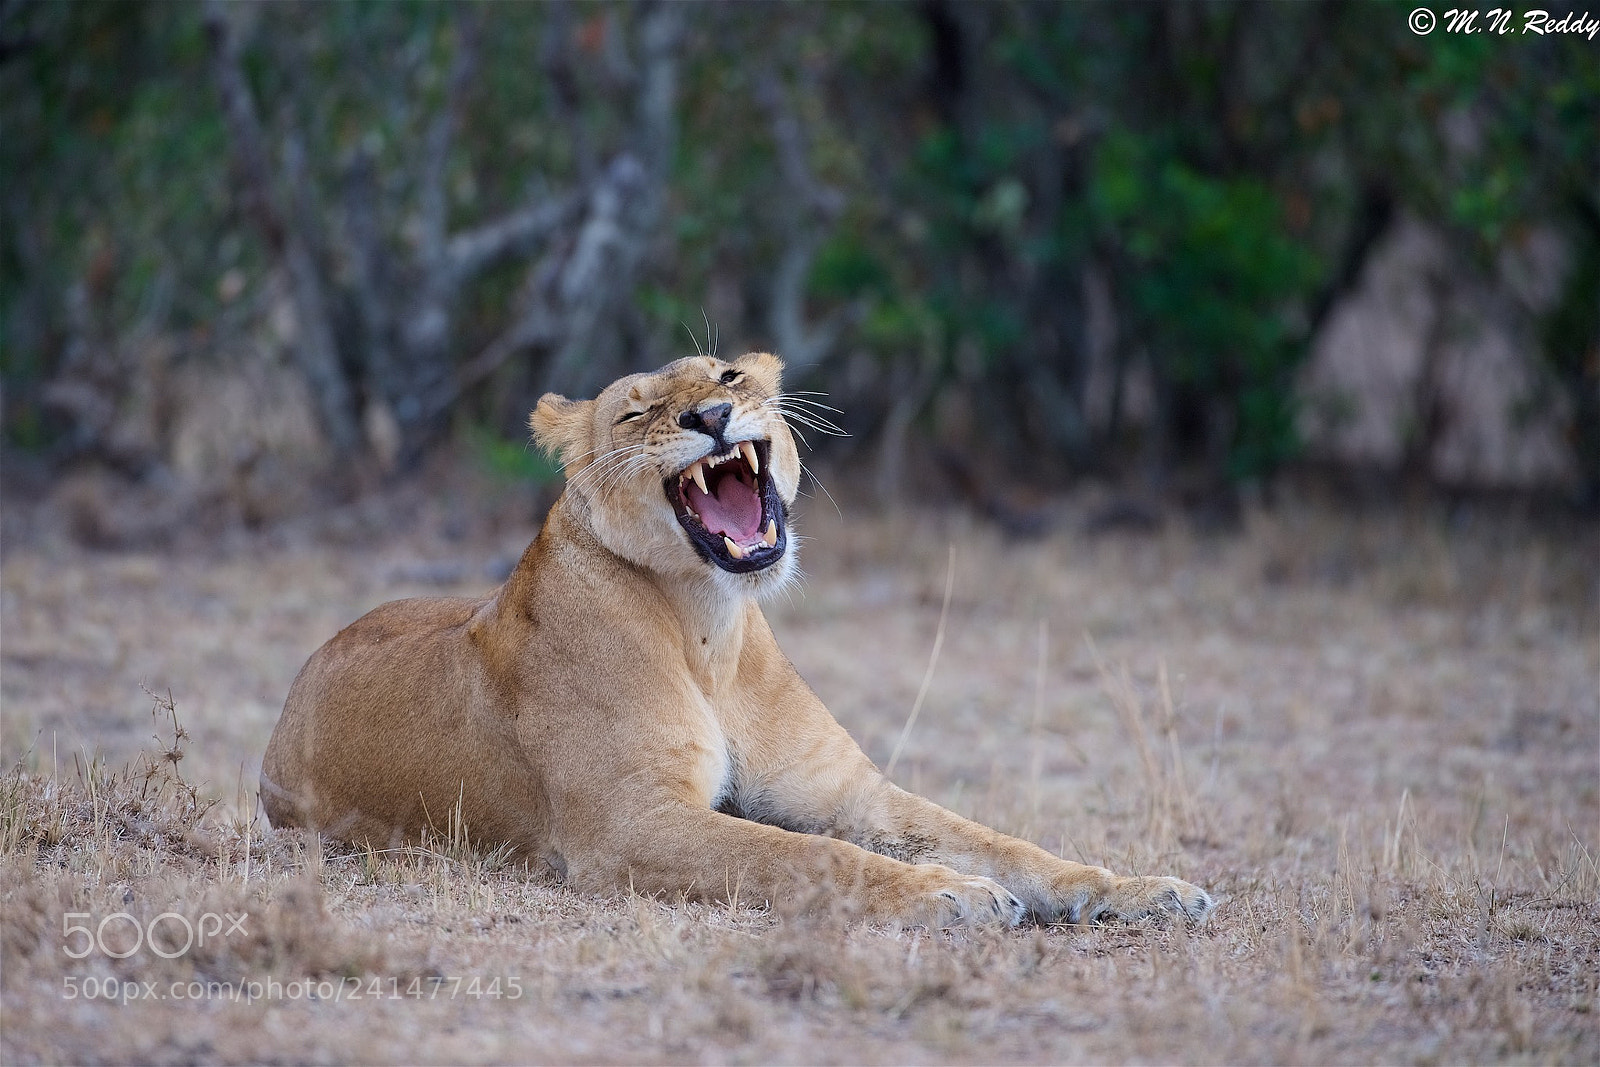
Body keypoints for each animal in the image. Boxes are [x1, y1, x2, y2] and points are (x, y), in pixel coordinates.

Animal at [261, 353, 1215, 927]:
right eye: (638, 412)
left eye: (727, 374)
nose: (715, 414)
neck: (709, 625)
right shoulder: (630, 824)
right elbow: (802, 855)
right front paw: (949, 892)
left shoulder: (846, 790)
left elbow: (1002, 841)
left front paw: (1149, 887)